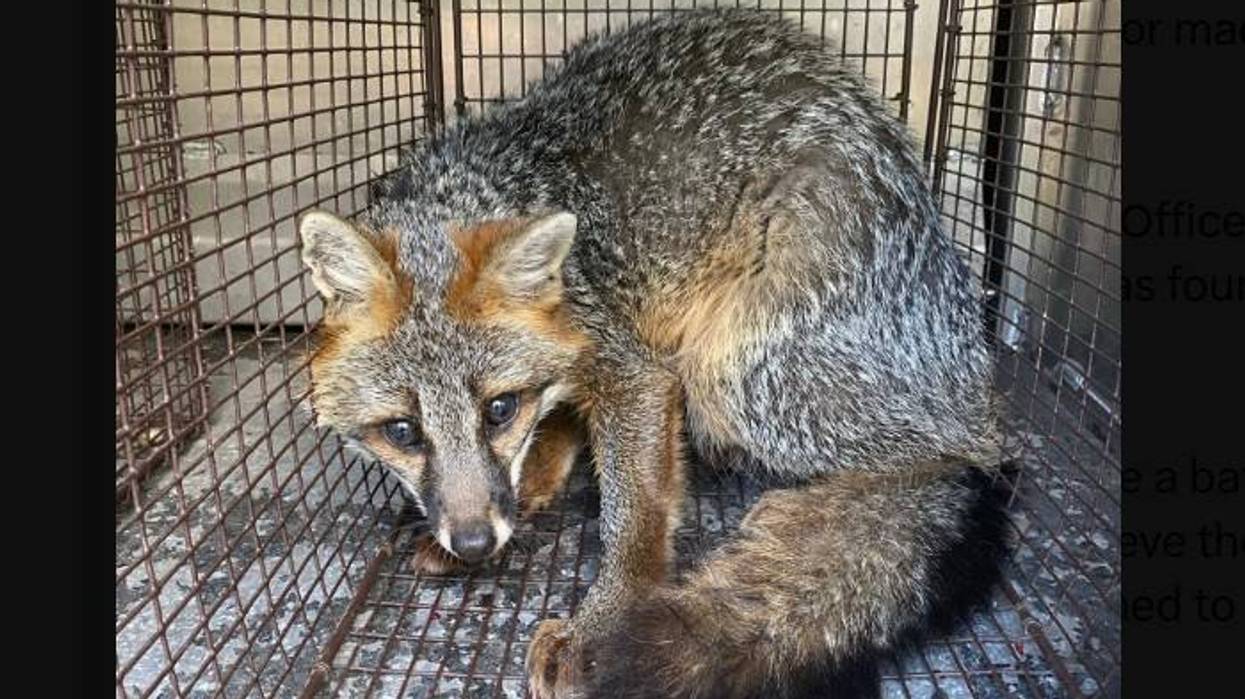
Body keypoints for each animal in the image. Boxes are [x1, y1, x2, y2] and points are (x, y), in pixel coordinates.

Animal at [298, 9, 1012, 699]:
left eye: (498, 409)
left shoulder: (632, 370)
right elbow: (556, 429)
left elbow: (633, 512)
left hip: (742, 372)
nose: (474, 543)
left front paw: (605, 621)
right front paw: (534, 481)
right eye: (401, 432)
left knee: (950, 463)